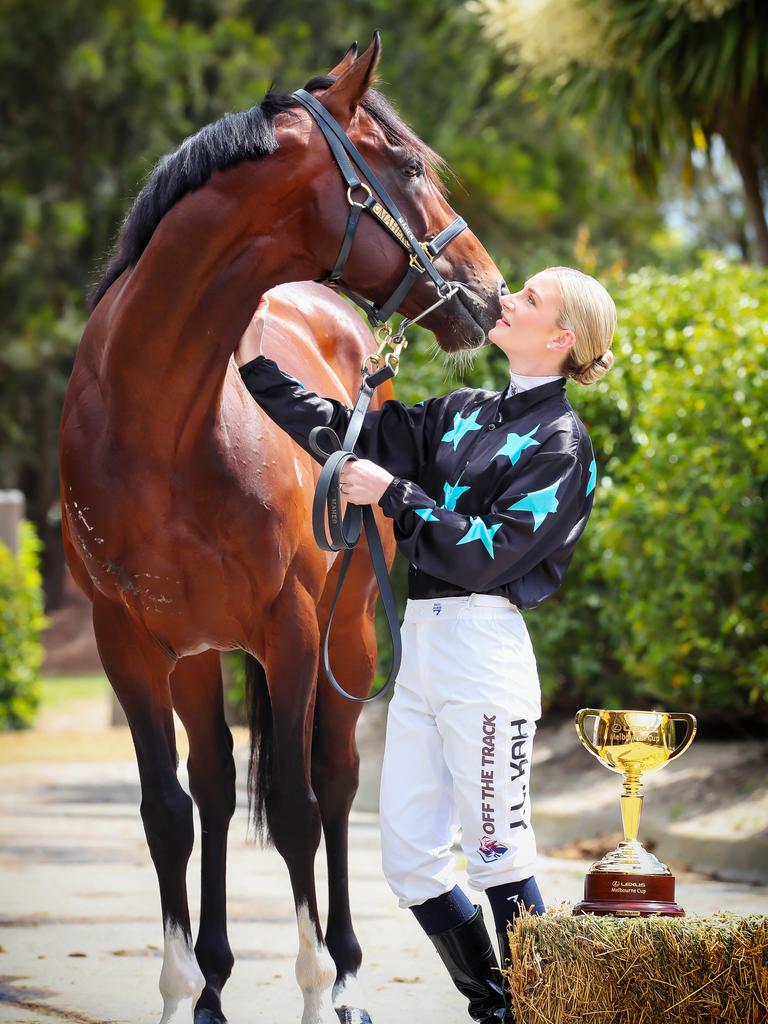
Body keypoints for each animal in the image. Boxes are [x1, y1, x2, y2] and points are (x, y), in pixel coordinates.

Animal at [60, 36, 505, 1024]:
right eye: (407, 167)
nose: (490, 295)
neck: (160, 425)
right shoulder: (129, 643)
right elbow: (167, 813)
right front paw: (182, 995)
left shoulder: (293, 631)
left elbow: (300, 810)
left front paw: (318, 988)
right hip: (200, 654)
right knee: (217, 790)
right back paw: (216, 982)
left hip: (350, 637)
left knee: (333, 784)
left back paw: (346, 977)